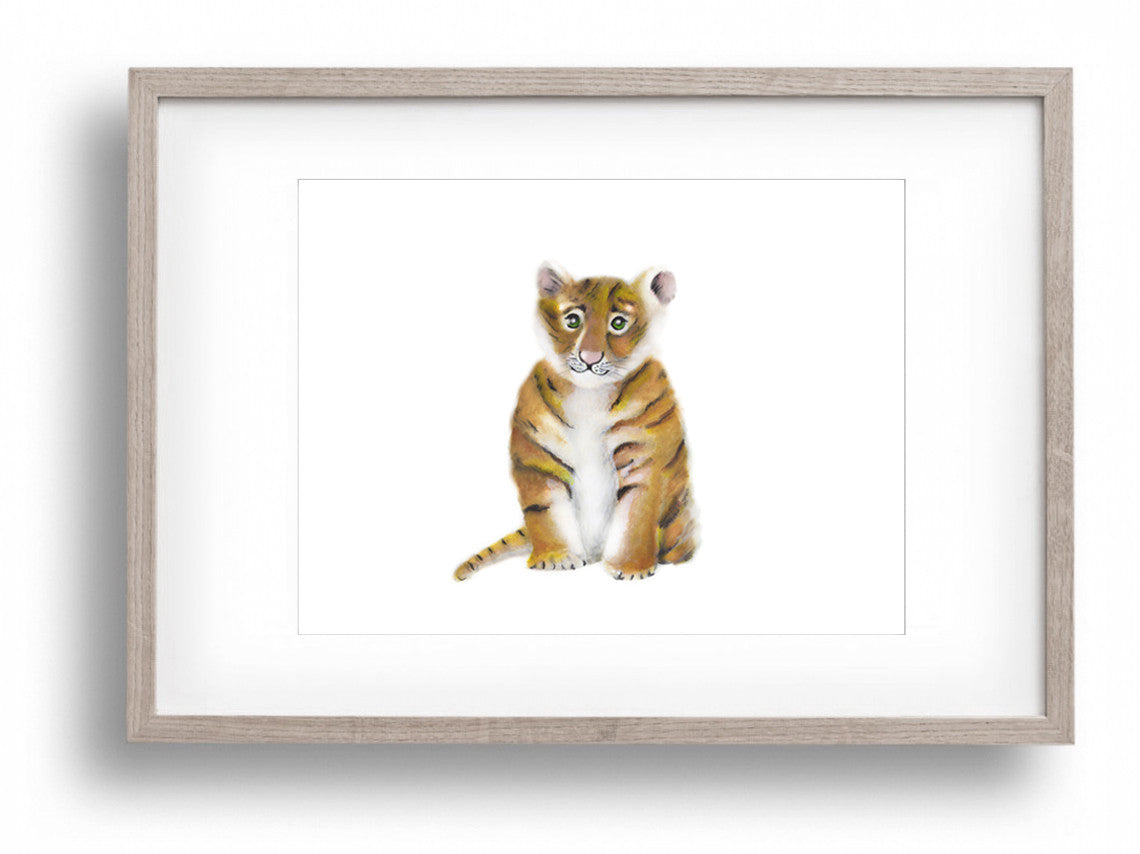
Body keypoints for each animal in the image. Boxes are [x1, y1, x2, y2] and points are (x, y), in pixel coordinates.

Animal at [453, 261, 697, 582]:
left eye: (618, 323)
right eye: (572, 320)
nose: (590, 358)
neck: (590, 394)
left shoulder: (643, 457)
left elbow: (636, 516)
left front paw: (630, 568)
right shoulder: (537, 457)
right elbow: (547, 513)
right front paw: (555, 558)